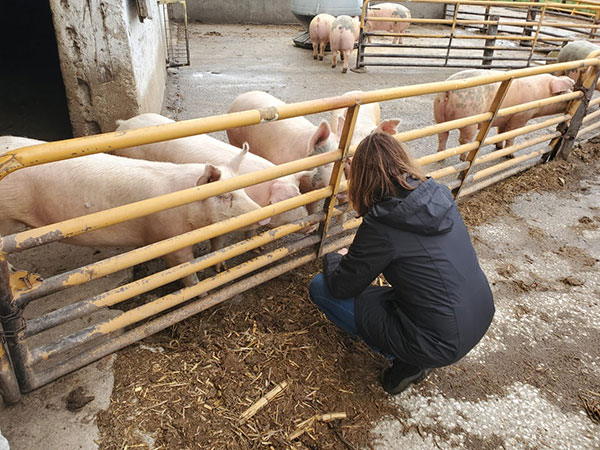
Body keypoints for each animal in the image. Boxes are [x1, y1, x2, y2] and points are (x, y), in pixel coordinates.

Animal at [434, 70, 576, 158]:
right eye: (564, 93)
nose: (576, 96)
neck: (541, 93)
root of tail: (448, 91)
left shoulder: (504, 118)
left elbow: (501, 133)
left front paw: (498, 147)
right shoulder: (521, 116)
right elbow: (512, 134)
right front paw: (510, 155)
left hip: (439, 115)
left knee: (442, 135)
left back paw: (440, 155)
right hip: (469, 116)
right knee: (464, 140)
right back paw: (463, 159)